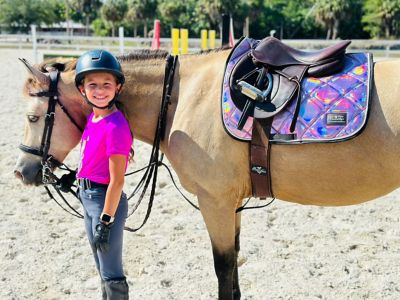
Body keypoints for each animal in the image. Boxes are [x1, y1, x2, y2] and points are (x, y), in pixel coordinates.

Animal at [14, 40, 400, 300]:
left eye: (33, 117)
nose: (22, 171)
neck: (182, 96)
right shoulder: (233, 204)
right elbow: (235, 268)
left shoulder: (215, 202)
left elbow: (223, 269)